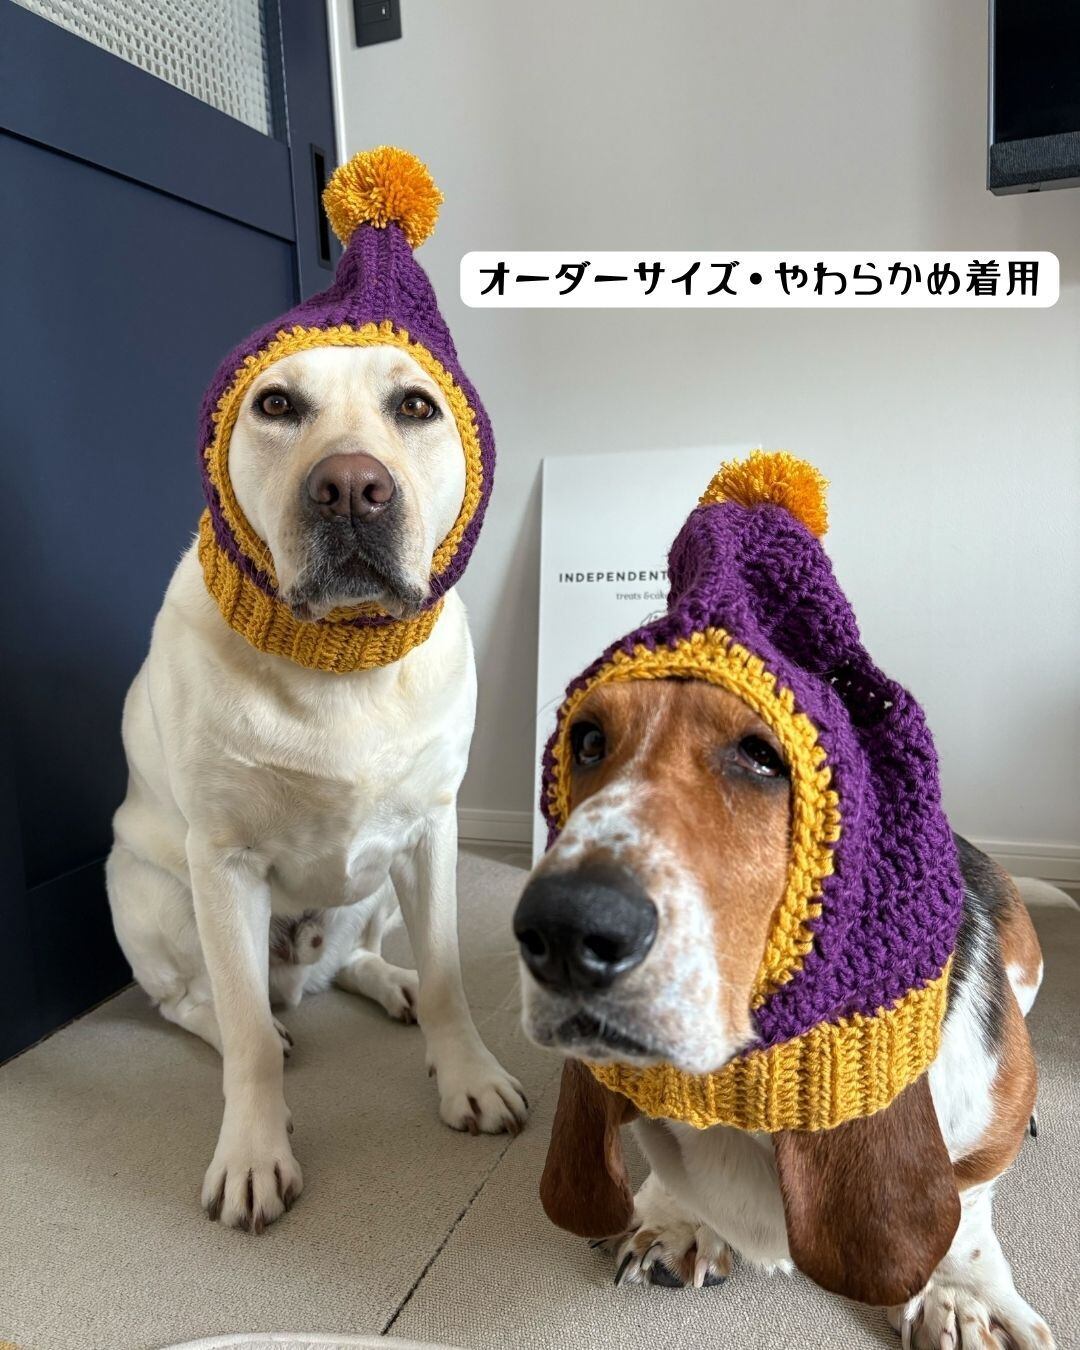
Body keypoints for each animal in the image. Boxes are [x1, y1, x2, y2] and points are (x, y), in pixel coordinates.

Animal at [108, 342, 526, 1233]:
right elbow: (247, 1035)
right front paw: (252, 1152)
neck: (341, 662)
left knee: (357, 956)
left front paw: (467, 1075)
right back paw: (255, 1024)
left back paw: (391, 982)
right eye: (275, 404)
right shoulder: (224, 863)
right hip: (145, 890)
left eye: (415, 406)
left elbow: (450, 981)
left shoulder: (432, 833)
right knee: (196, 1005)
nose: (352, 487)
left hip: (379, 890)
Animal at [515, 676, 1055, 1348]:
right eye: (587, 741)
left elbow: (969, 1206)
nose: (561, 928)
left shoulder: (985, 1125)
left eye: (763, 756)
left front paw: (961, 1293)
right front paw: (676, 1219)